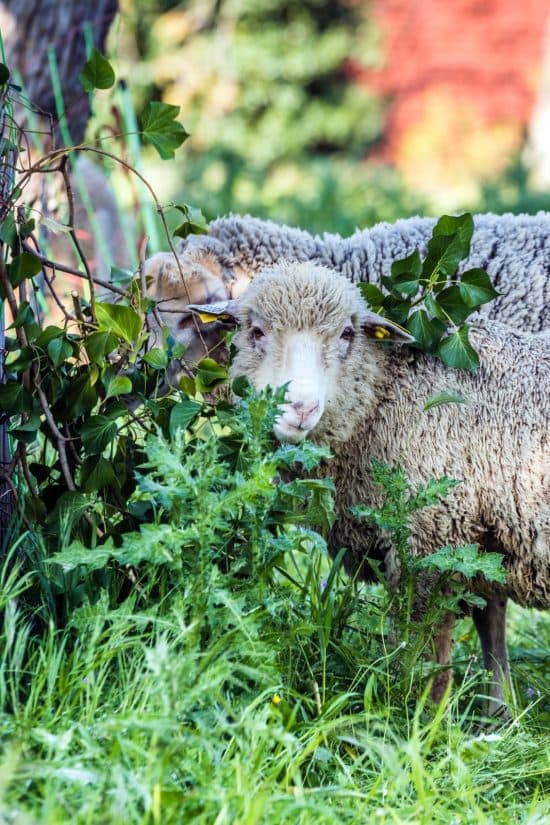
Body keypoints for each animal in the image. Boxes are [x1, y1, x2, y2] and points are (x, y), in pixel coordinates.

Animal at [209, 260, 550, 713]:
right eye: (257, 331)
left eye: (346, 334)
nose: (301, 408)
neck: (383, 396)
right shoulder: (484, 542)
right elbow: (490, 629)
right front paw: (498, 714)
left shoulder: (431, 540)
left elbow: (427, 648)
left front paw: (422, 718)